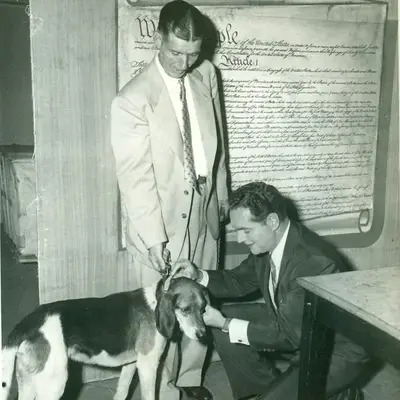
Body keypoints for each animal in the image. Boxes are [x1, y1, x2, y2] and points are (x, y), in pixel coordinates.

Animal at [1, 276, 209, 400]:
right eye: (185, 309)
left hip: (28, 381)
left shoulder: (131, 364)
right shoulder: (148, 366)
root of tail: (27, 323)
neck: (155, 302)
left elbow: (122, 390)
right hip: (54, 383)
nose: (202, 334)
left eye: (203, 309)